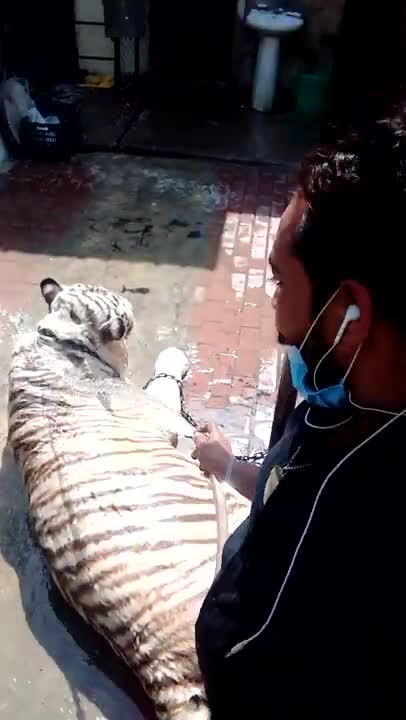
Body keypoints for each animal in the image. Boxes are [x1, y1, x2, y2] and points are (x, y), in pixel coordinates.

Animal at [7, 277, 250, 720]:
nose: (129, 299)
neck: (58, 340)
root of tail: (160, 670)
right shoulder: (156, 409)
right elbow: (165, 380)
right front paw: (174, 356)